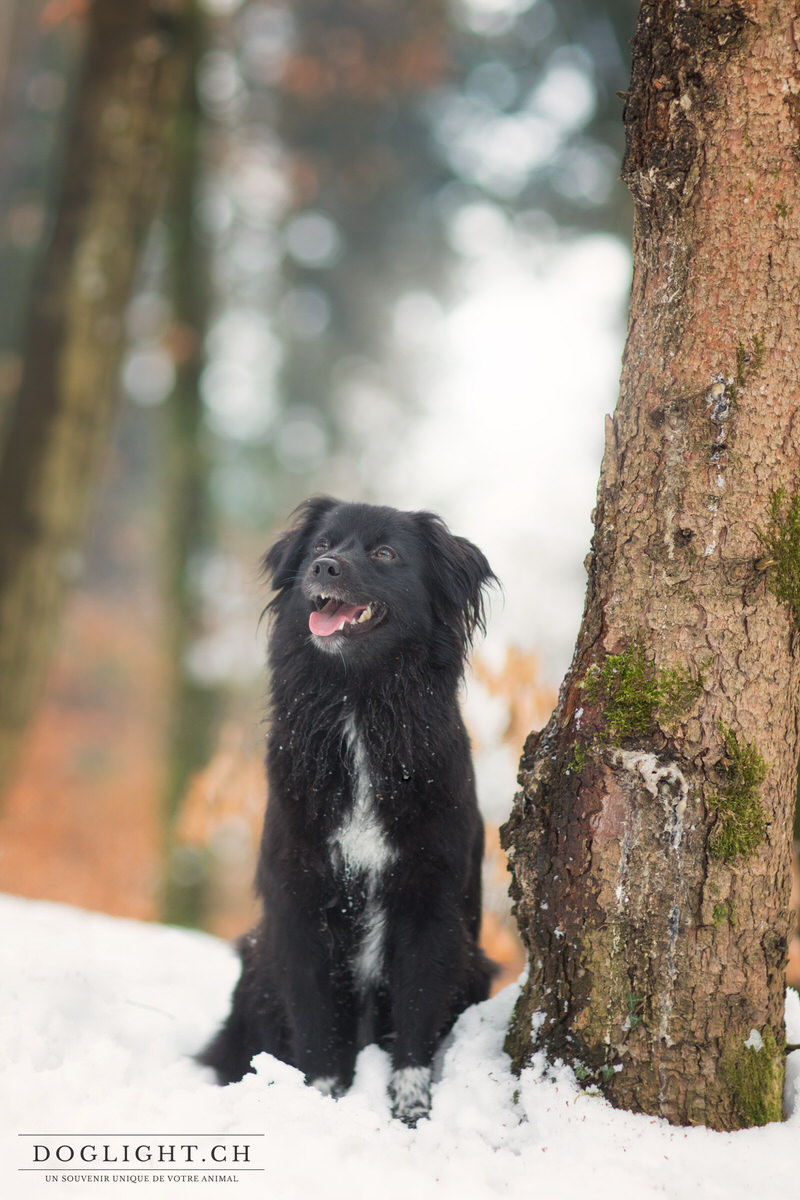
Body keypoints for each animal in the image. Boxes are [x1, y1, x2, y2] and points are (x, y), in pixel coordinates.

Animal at [197, 496, 496, 1123]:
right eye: (320, 544)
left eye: (384, 553)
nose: (325, 567)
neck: (358, 704)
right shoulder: (299, 902)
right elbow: (316, 1027)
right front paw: (323, 1103)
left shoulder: (429, 903)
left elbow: (416, 1018)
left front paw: (410, 1113)